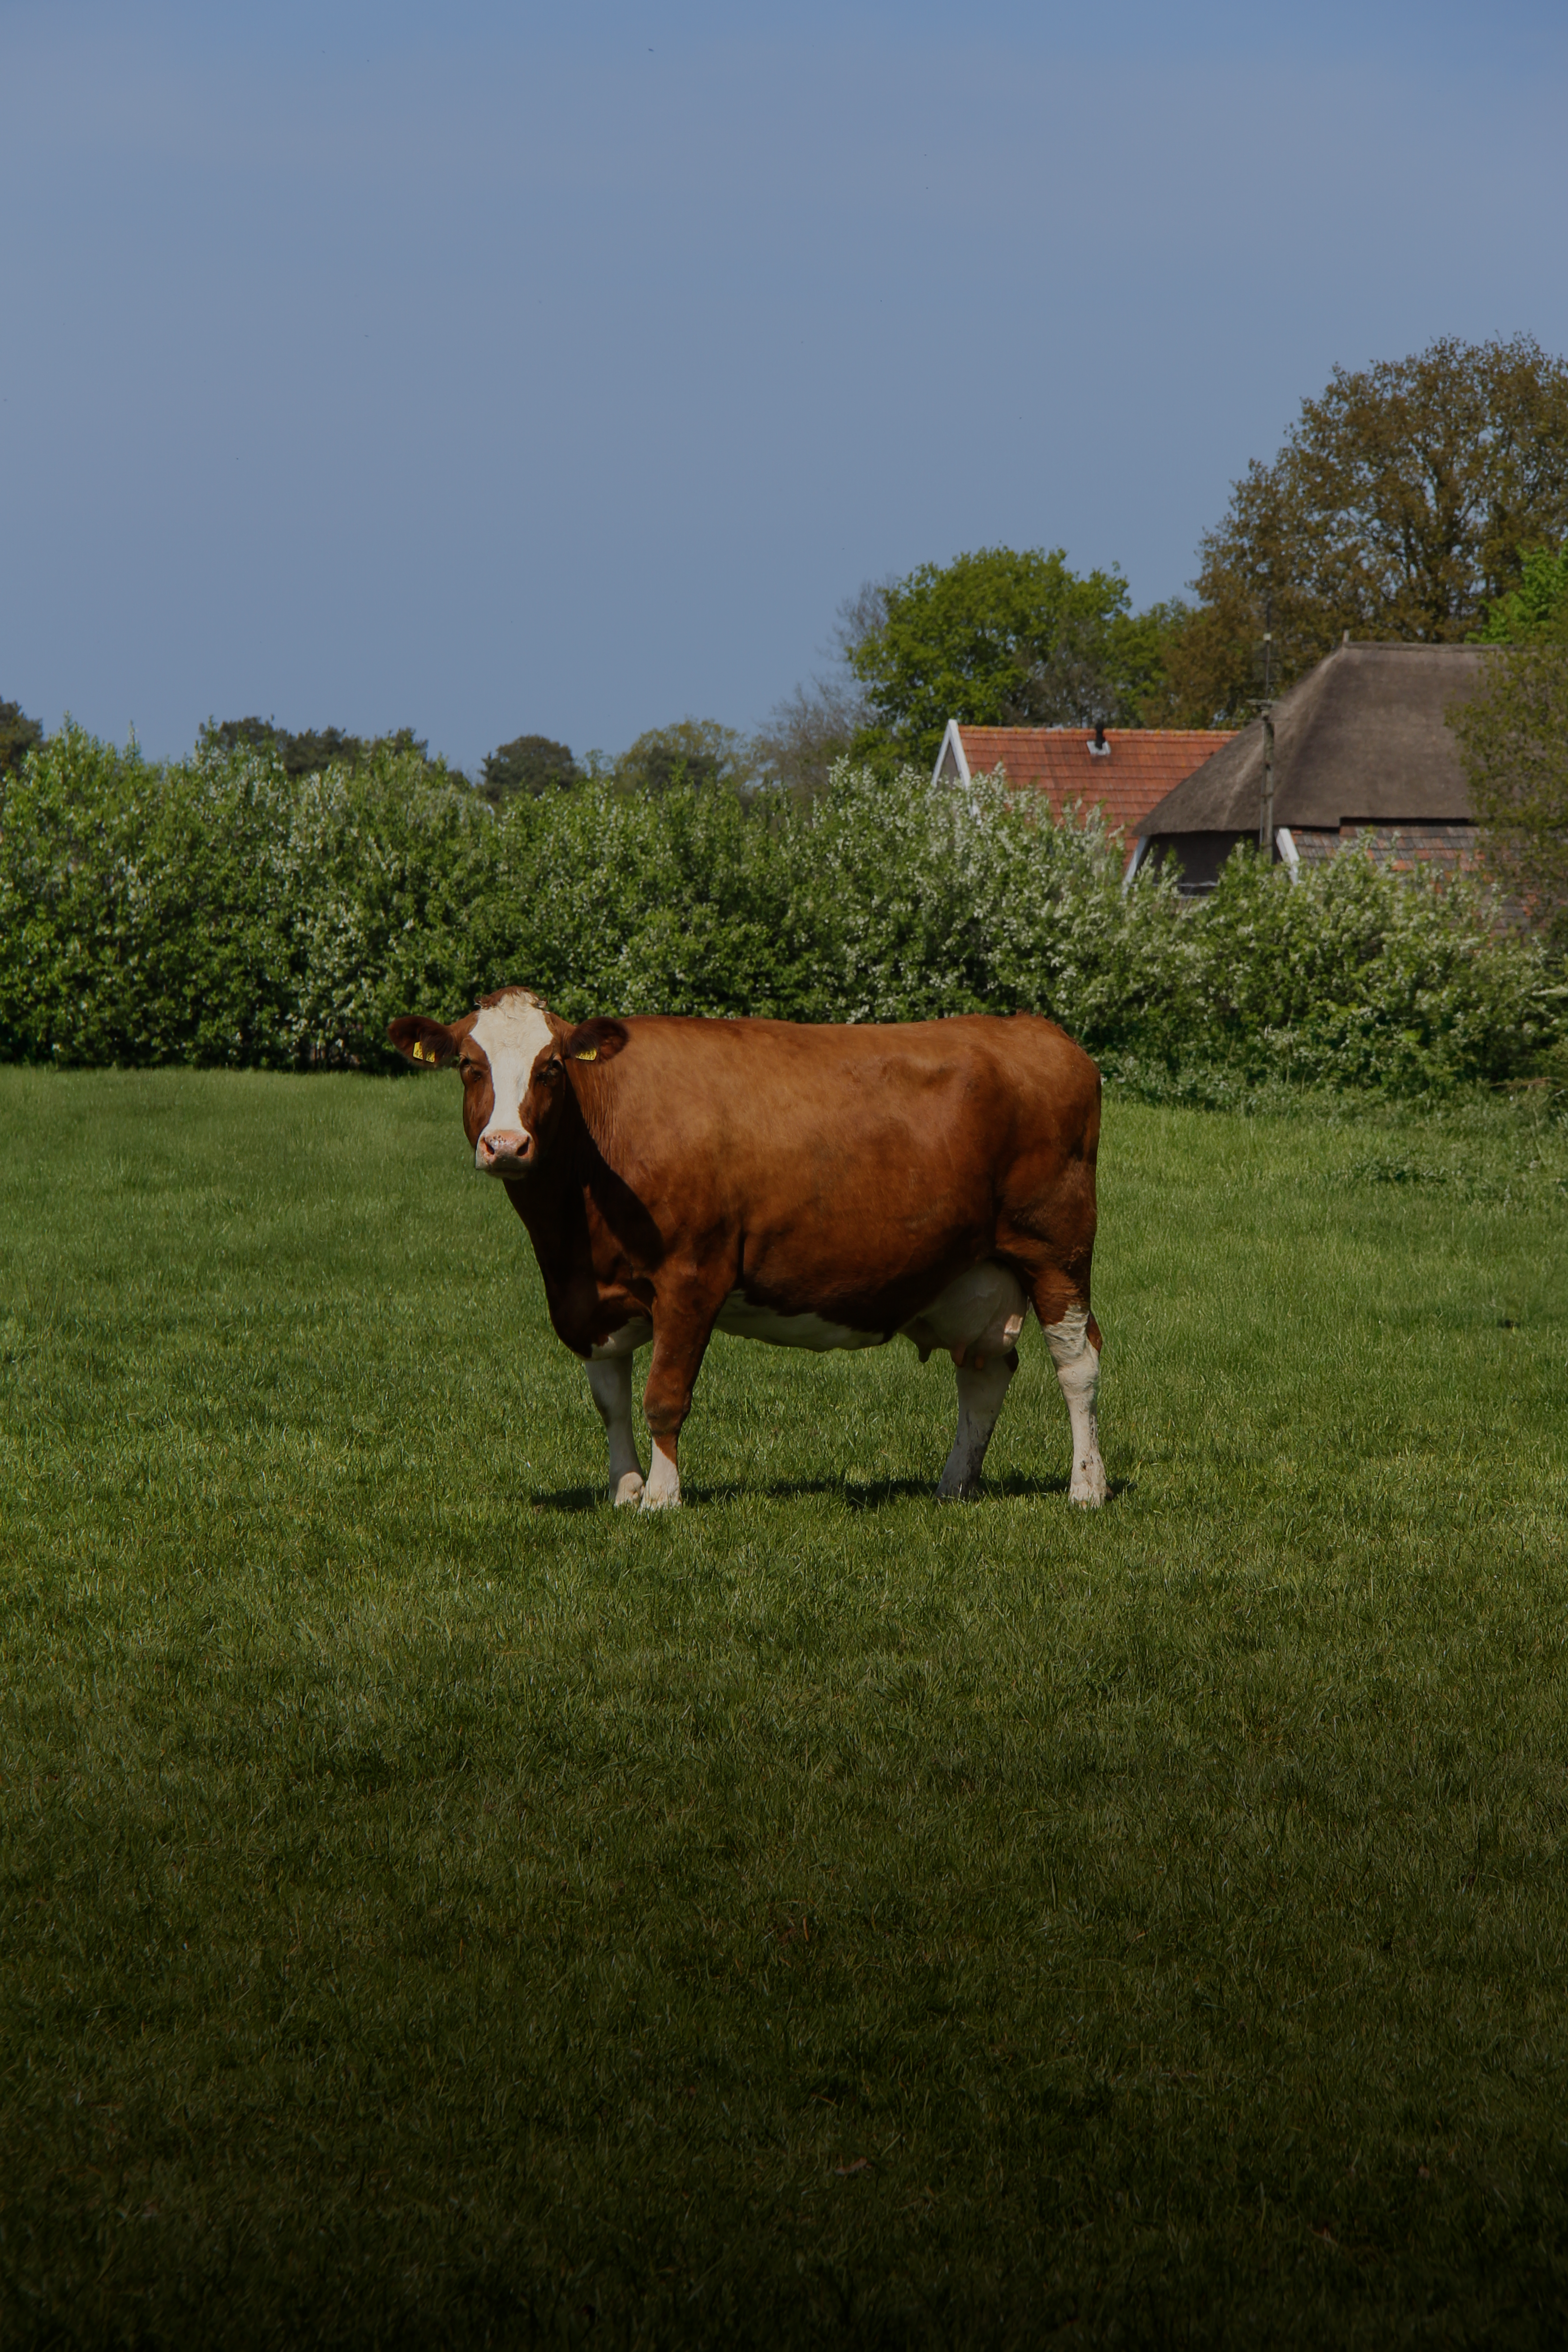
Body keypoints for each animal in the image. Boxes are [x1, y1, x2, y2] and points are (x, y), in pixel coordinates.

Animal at [389, 988, 1107, 1513]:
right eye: (469, 1066)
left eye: (551, 1068)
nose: (506, 1144)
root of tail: (1037, 1029)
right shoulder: (593, 1296)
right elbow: (611, 1400)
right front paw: (623, 1490)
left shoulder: (691, 1274)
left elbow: (663, 1393)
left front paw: (661, 1498)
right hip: (975, 1269)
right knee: (984, 1372)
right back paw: (954, 1484)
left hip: (1057, 1248)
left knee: (1077, 1362)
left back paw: (1085, 1486)